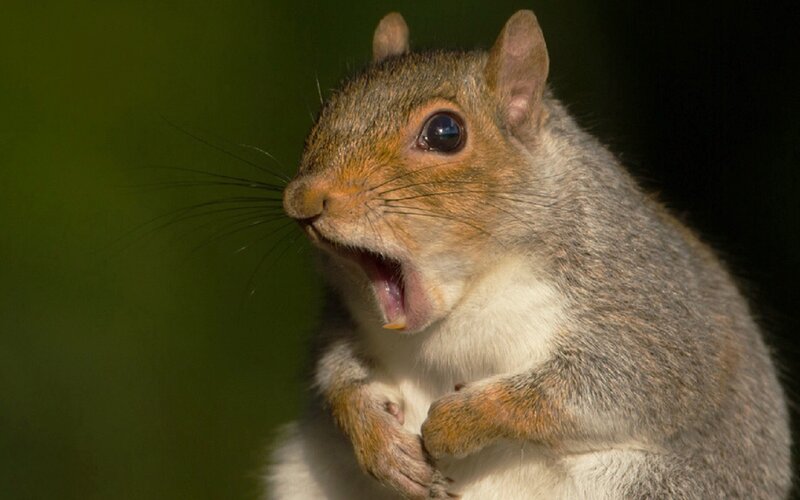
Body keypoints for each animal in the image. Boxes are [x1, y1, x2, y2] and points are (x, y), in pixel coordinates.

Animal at [266, 10, 792, 500]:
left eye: (445, 132)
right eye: (325, 110)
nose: (303, 199)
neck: (463, 303)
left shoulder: (647, 309)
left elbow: (609, 387)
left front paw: (457, 422)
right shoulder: (345, 317)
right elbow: (336, 371)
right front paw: (375, 437)